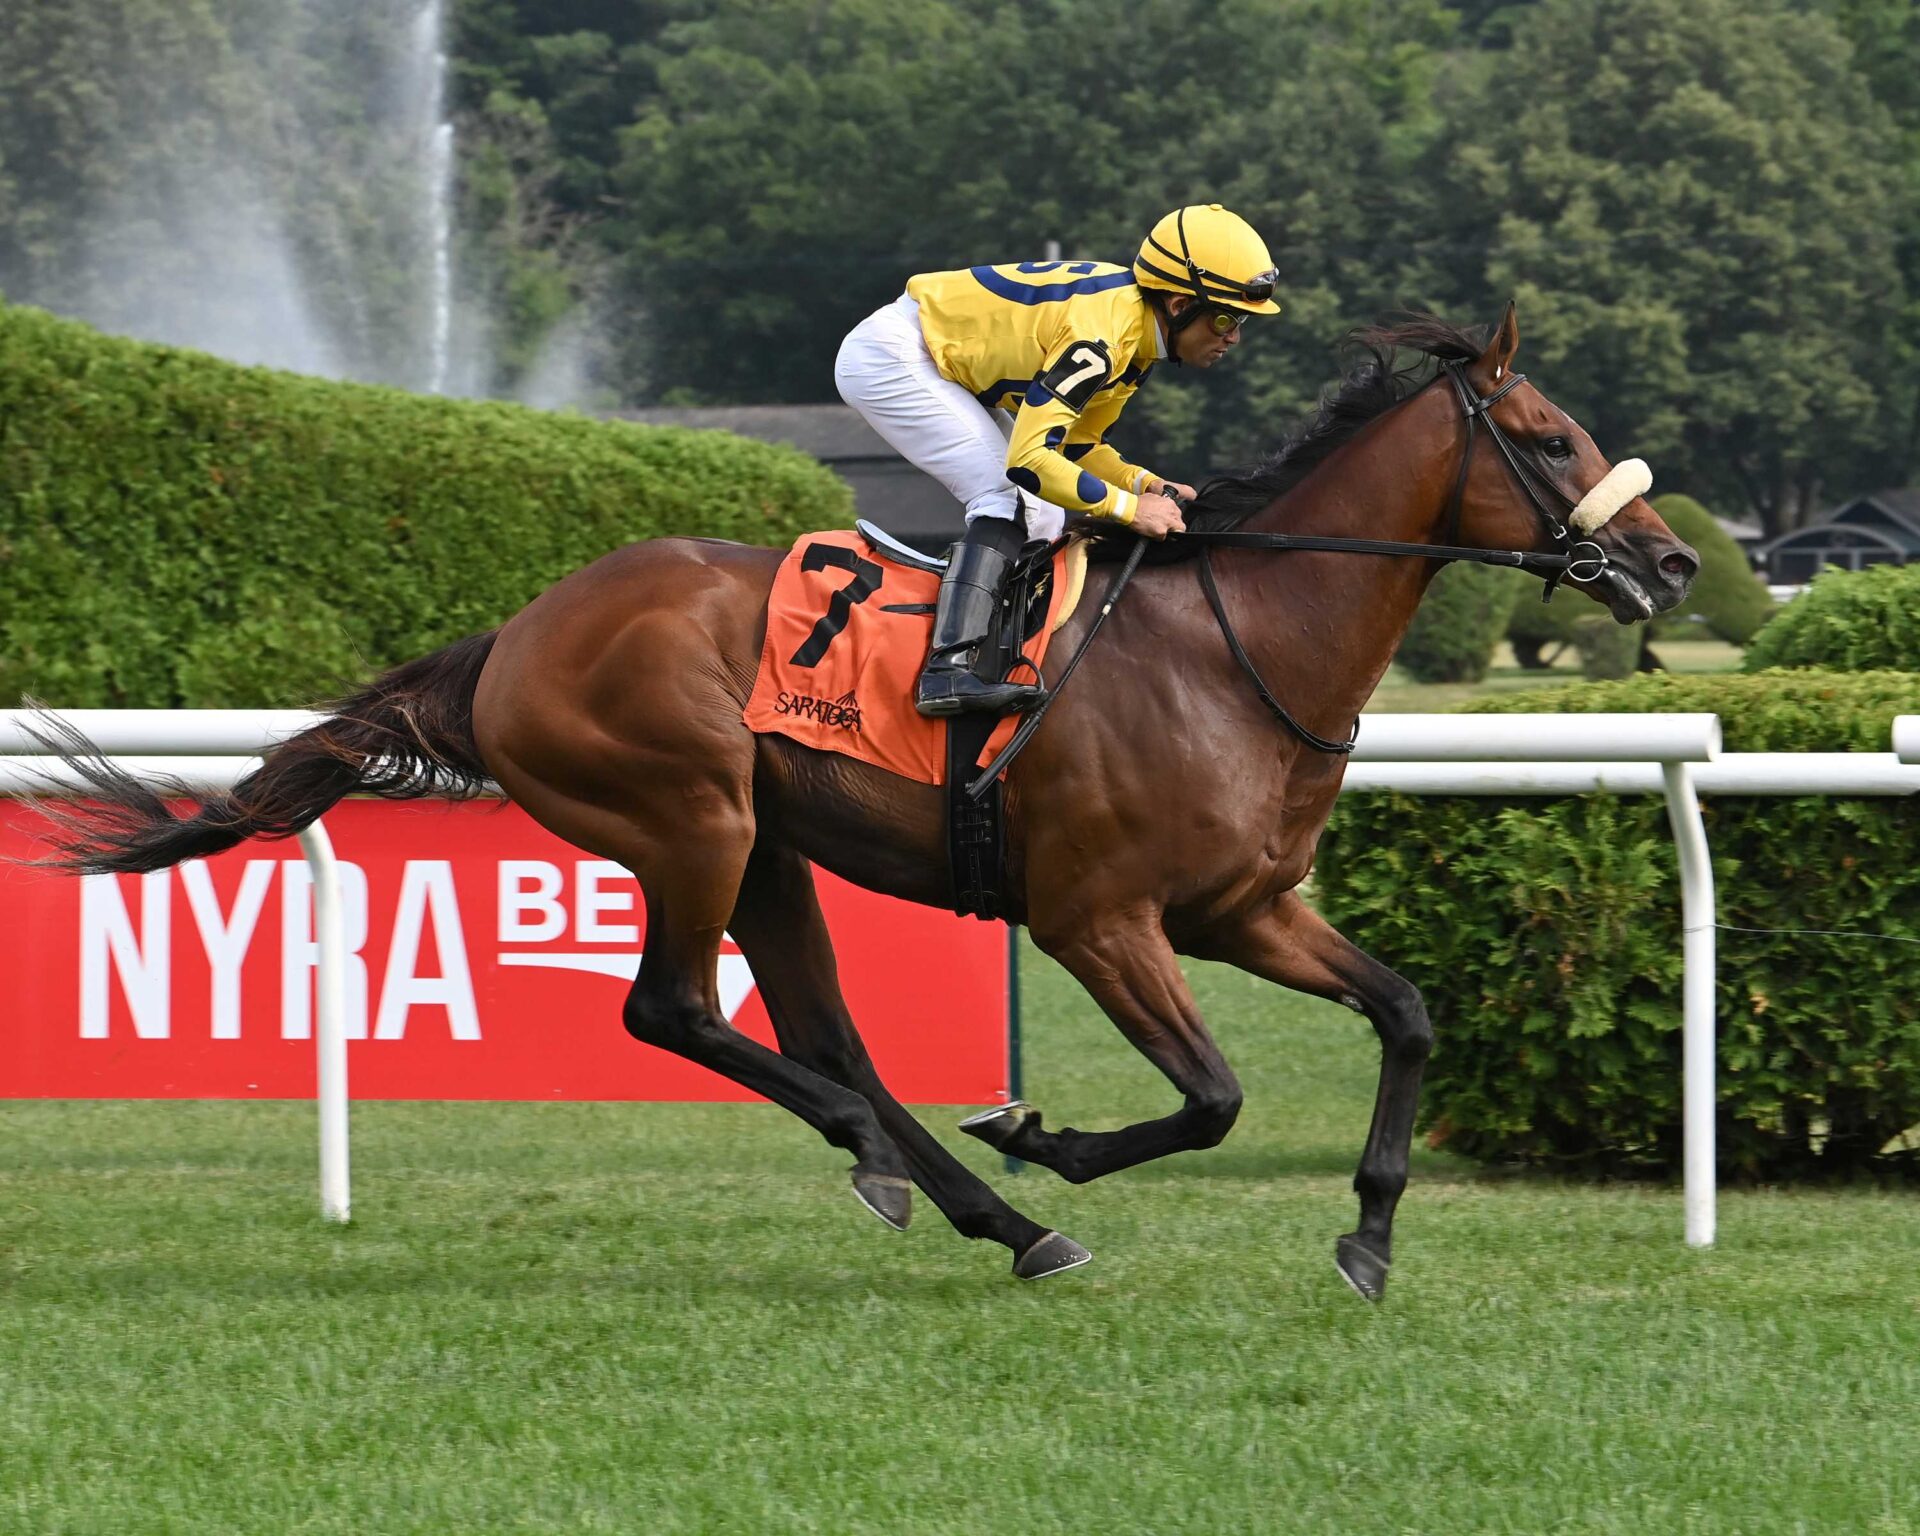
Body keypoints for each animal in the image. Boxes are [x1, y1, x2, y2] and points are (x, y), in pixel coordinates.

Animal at [31, 306, 1698, 1300]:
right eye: (1548, 437)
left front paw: (1364, 1233)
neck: (1235, 650)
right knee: (682, 1016)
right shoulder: (1101, 919)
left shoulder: (1243, 910)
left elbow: (1406, 1013)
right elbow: (1213, 1097)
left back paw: (965, 1201)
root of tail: (516, 632)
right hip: (689, 815)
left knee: (824, 1034)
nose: (1675, 562)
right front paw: (1046, 1135)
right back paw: (946, 1178)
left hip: (769, 845)